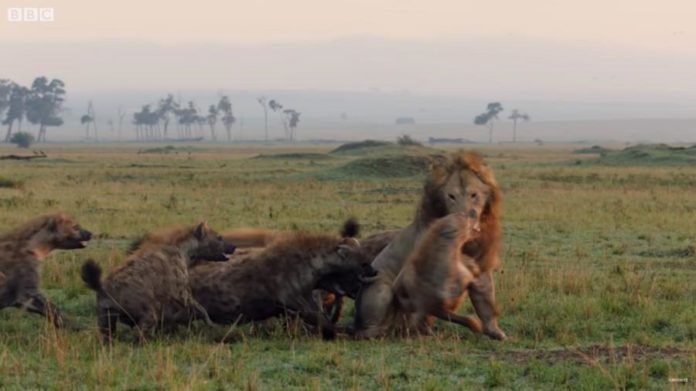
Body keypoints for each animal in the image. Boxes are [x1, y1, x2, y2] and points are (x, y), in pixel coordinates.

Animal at [354, 152, 506, 342]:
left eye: (474, 195)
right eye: (451, 196)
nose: (464, 215)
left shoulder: (479, 268)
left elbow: (486, 304)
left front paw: (495, 332)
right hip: (381, 287)